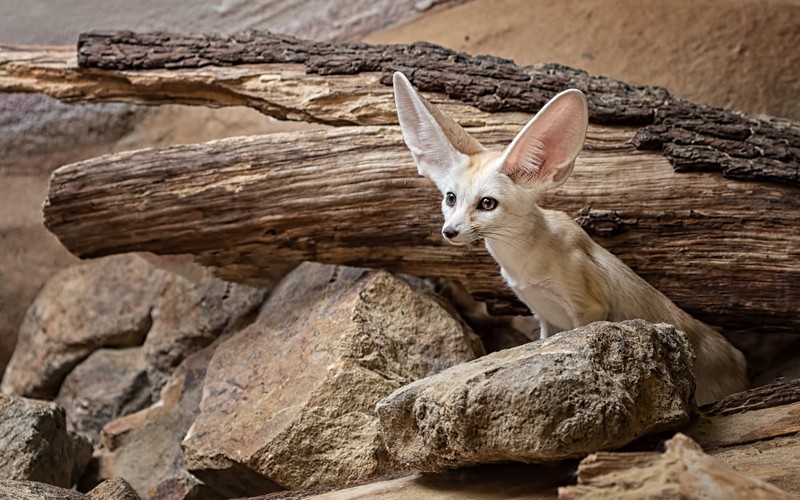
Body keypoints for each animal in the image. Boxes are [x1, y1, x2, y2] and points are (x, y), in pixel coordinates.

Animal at [394, 71, 752, 406]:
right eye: (451, 198)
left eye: (487, 204)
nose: (449, 231)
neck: (524, 261)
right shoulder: (545, 319)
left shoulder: (588, 307)